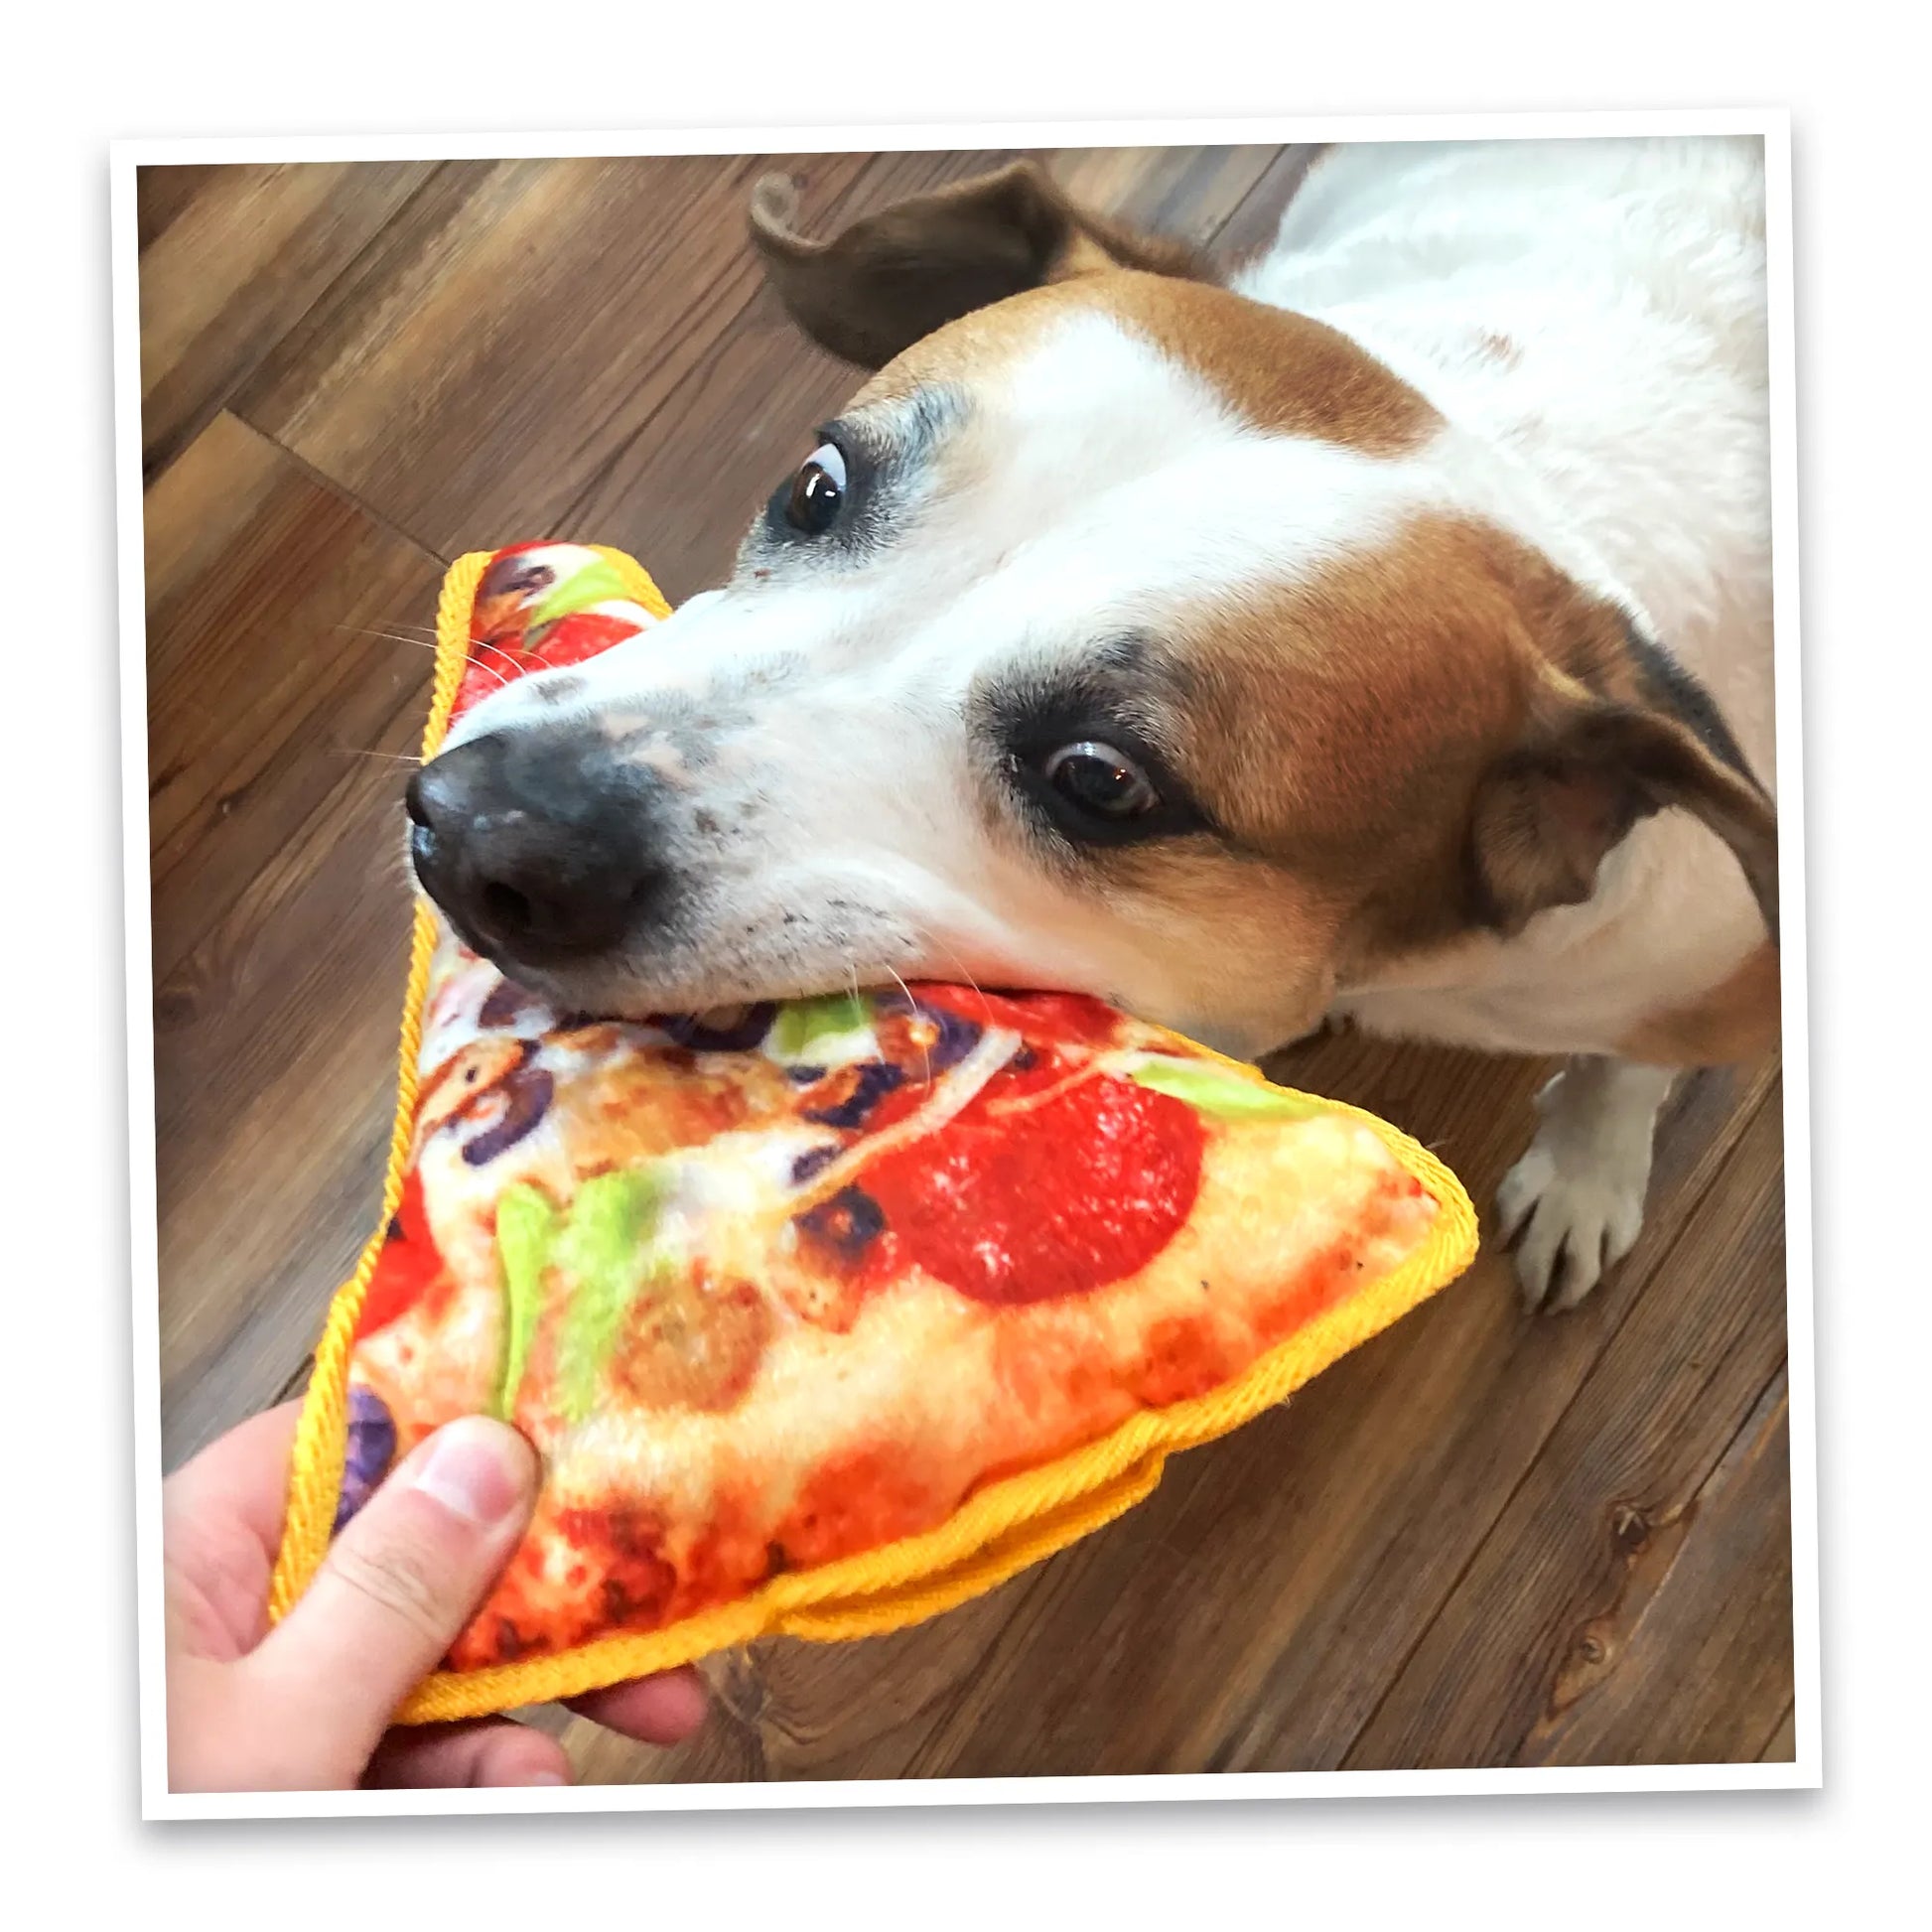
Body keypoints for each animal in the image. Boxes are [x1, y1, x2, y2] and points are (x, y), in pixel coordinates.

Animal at [407, 136, 1777, 1313]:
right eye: (815, 488)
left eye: (1101, 780)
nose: (473, 832)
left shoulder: (1701, 969)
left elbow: (1623, 1068)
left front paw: (1588, 1166)